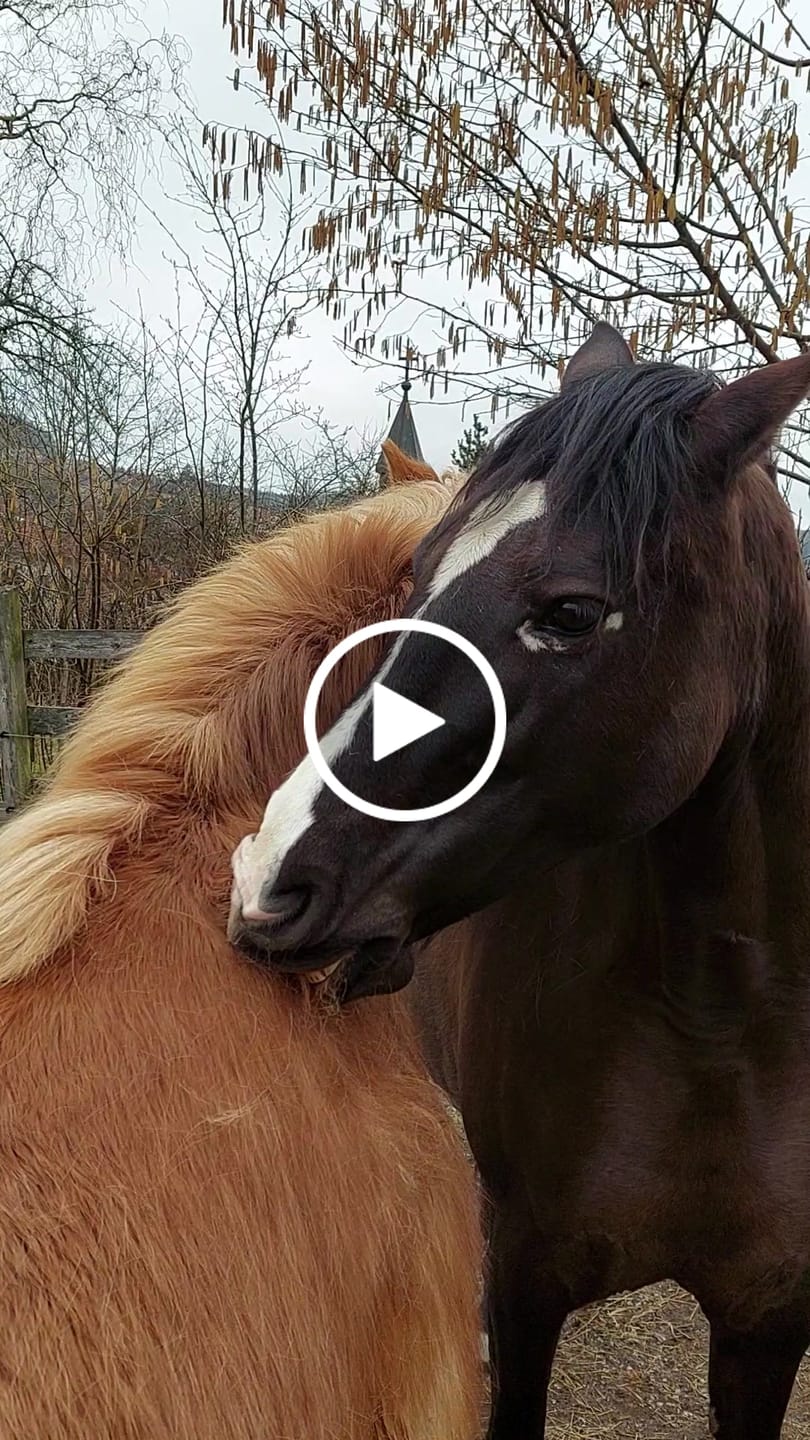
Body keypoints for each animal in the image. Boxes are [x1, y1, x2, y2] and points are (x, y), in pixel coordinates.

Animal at [229, 328, 810, 1439]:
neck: (718, 1033)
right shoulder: (530, 1280)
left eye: (571, 612)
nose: (266, 883)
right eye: (417, 578)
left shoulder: (767, 1325)